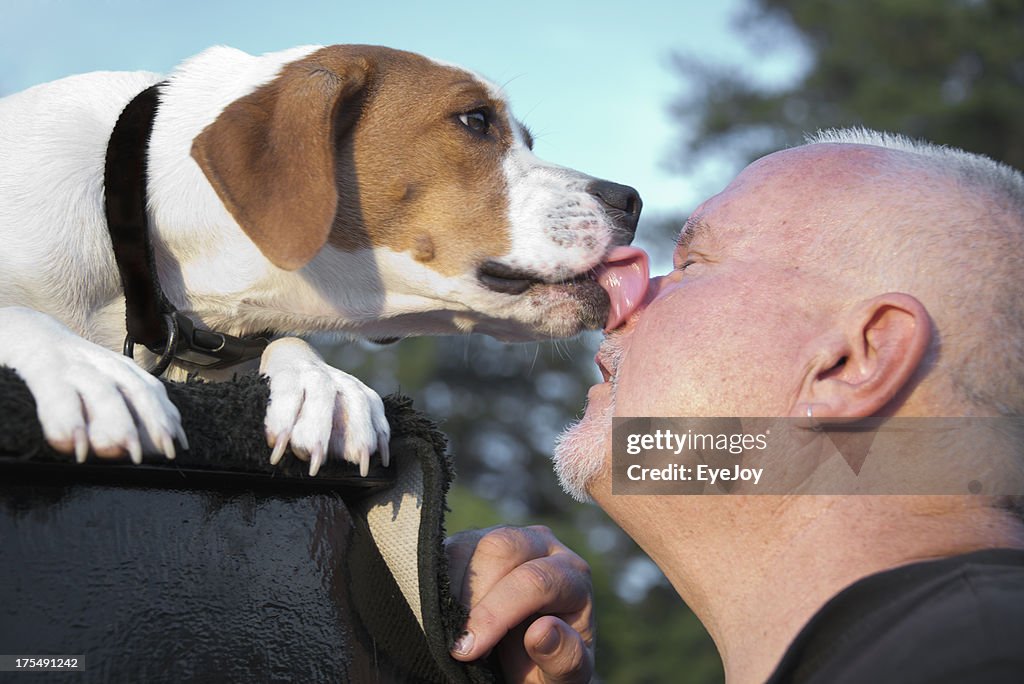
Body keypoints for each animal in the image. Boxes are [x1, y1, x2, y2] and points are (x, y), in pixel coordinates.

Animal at [2, 44, 647, 475]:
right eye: (475, 120)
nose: (632, 200)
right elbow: (20, 314)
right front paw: (86, 369)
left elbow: (286, 342)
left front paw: (323, 385)